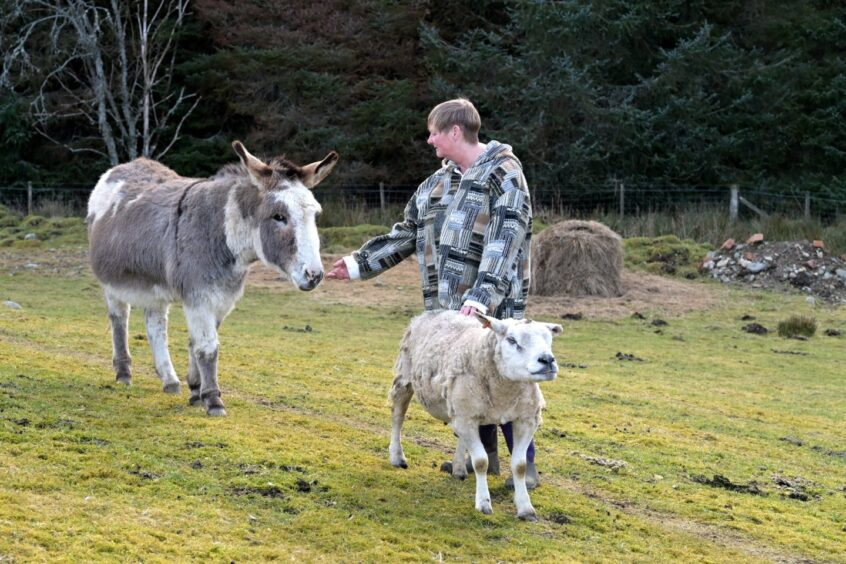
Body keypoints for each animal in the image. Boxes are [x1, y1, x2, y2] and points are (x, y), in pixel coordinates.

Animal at [390, 308, 564, 520]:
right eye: (511, 340)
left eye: (549, 339)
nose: (547, 360)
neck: (504, 393)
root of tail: (432, 312)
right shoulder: (467, 418)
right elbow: (481, 462)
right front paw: (483, 503)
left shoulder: (526, 420)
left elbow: (520, 465)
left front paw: (525, 508)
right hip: (406, 379)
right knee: (398, 416)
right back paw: (397, 456)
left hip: (462, 408)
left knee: (460, 436)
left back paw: (458, 469)